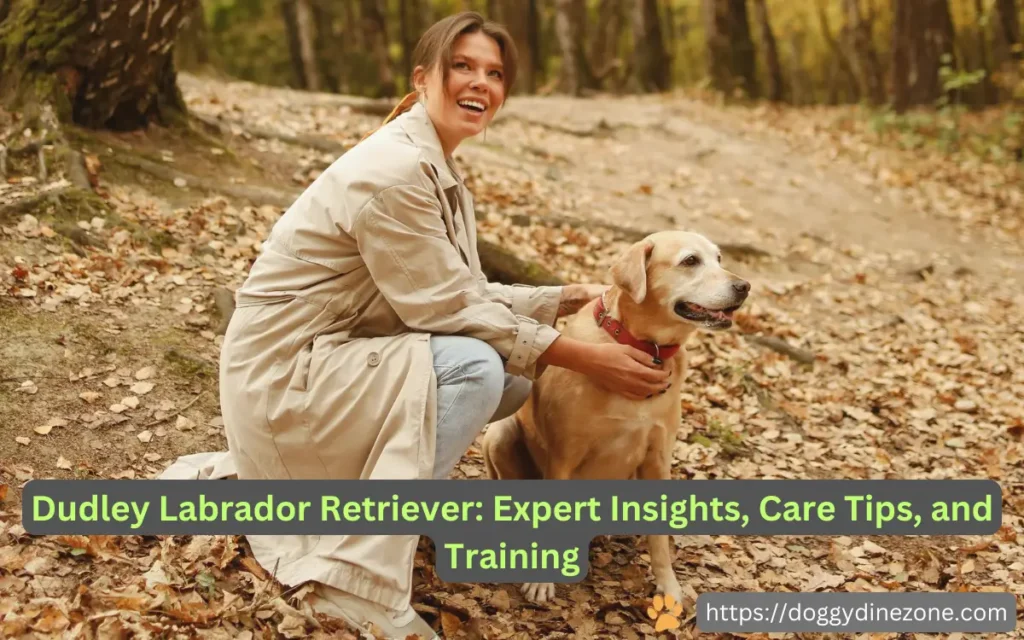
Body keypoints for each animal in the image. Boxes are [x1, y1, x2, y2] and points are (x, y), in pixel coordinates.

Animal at [479, 229, 753, 602]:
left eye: (720, 259)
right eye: (690, 261)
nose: (745, 286)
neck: (645, 347)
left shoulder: (657, 456)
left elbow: (660, 540)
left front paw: (668, 586)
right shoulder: (564, 454)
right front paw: (542, 581)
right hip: (500, 434)